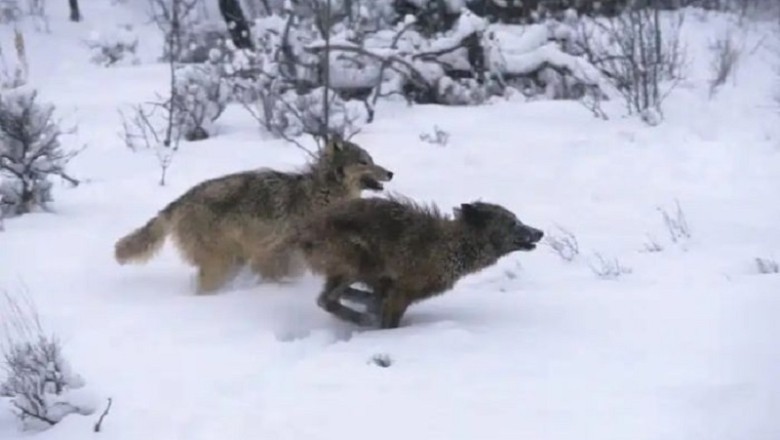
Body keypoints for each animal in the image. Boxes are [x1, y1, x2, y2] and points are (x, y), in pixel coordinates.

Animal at [114, 137, 394, 294]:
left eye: (372, 159)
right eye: (364, 162)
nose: (391, 173)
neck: (323, 194)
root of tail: (179, 201)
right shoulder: (275, 252)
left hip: (233, 260)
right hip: (222, 262)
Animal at [290, 195, 544, 329]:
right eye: (512, 223)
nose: (539, 232)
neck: (451, 246)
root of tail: (304, 231)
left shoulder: (390, 288)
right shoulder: (402, 291)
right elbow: (388, 319)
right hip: (355, 260)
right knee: (326, 300)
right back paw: (359, 317)